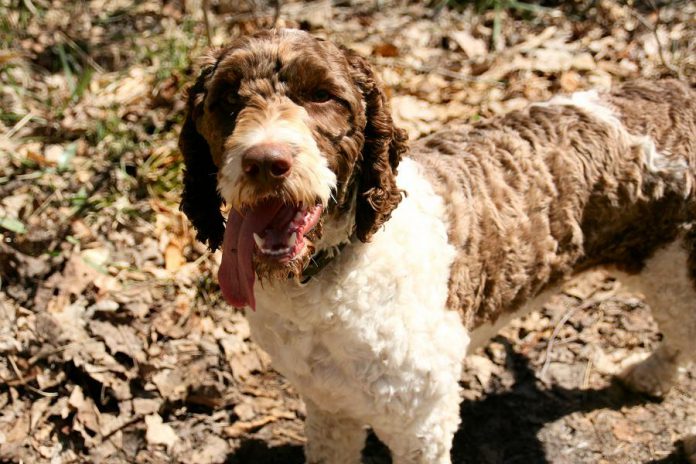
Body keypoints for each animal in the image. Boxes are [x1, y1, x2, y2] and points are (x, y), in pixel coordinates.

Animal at [179, 28, 696, 464]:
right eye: (226, 99)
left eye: (322, 95)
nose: (265, 161)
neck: (331, 273)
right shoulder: (329, 406)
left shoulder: (421, 421)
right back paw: (651, 374)